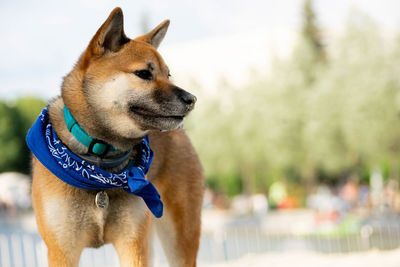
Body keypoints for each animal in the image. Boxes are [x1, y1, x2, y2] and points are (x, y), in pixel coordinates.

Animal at [29, 7, 203, 266]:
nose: (191, 99)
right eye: (143, 73)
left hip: (179, 236)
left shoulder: (133, 245)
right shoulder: (62, 250)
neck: (99, 165)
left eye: (168, 75)